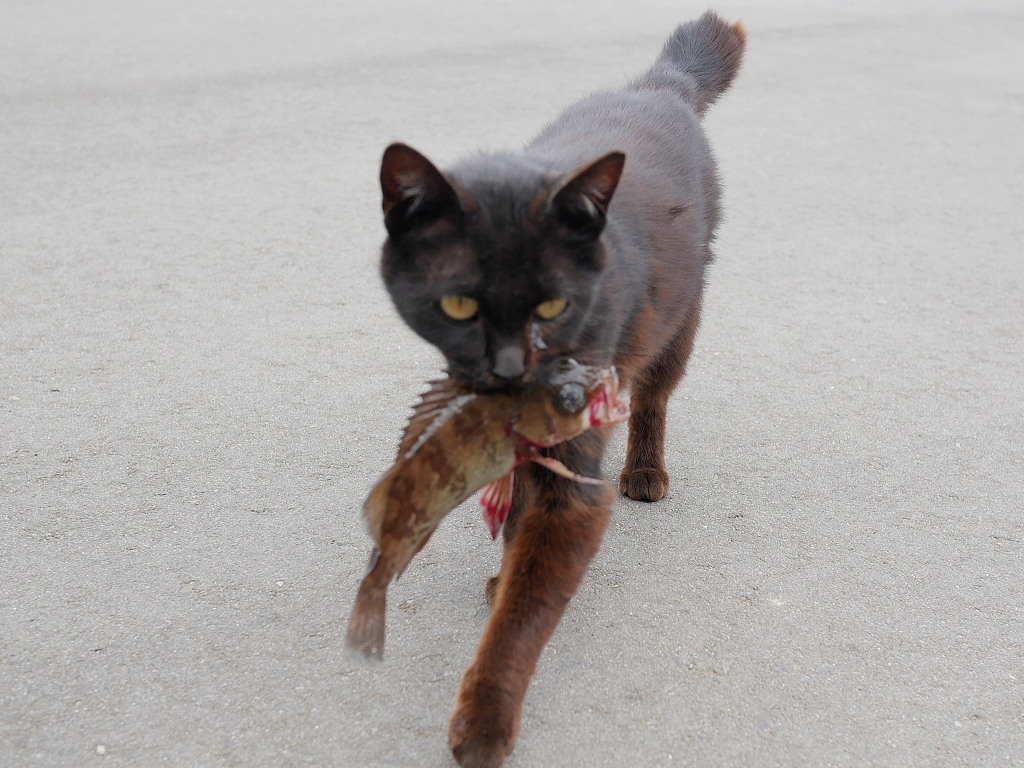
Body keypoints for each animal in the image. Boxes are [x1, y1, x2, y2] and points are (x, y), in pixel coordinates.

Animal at [372, 12, 741, 768]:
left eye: (552, 305)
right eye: (461, 304)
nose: (510, 367)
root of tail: (661, 85)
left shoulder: (573, 483)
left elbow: (527, 612)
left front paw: (484, 720)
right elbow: (517, 514)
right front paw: (502, 567)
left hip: (681, 317)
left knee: (654, 397)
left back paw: (646, 470)